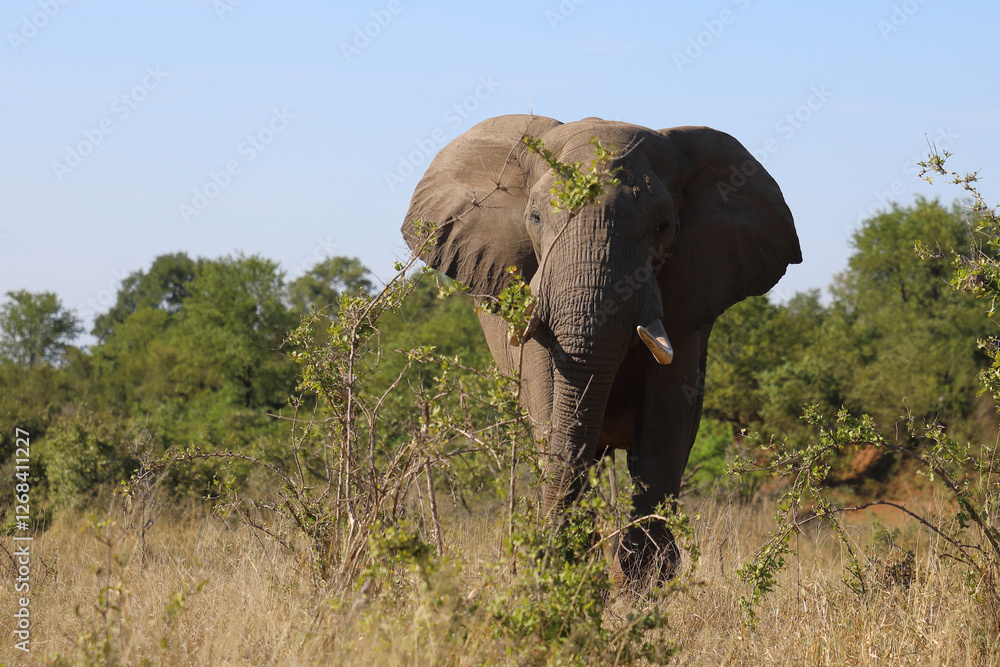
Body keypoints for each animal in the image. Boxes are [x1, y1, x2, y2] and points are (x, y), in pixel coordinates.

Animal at [400, 114, 801, 583]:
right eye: (535, 217)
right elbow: (550, 405)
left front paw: (643, 581)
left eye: (664, 227)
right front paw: (571, 568)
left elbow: (664, 424)